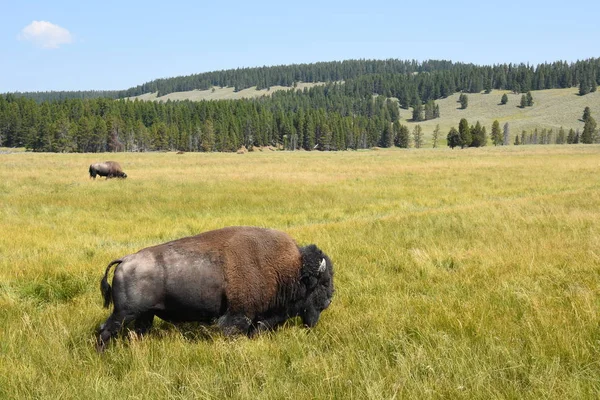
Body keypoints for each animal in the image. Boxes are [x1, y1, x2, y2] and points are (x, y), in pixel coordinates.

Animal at [96, 227, 336, 352]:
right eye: (324, 282)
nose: (329, 300)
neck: (289, 269)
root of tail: (125, 260)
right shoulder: (238, 316)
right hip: (124, 313)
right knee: (104, 330)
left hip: (145, 315)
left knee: (137, 333)